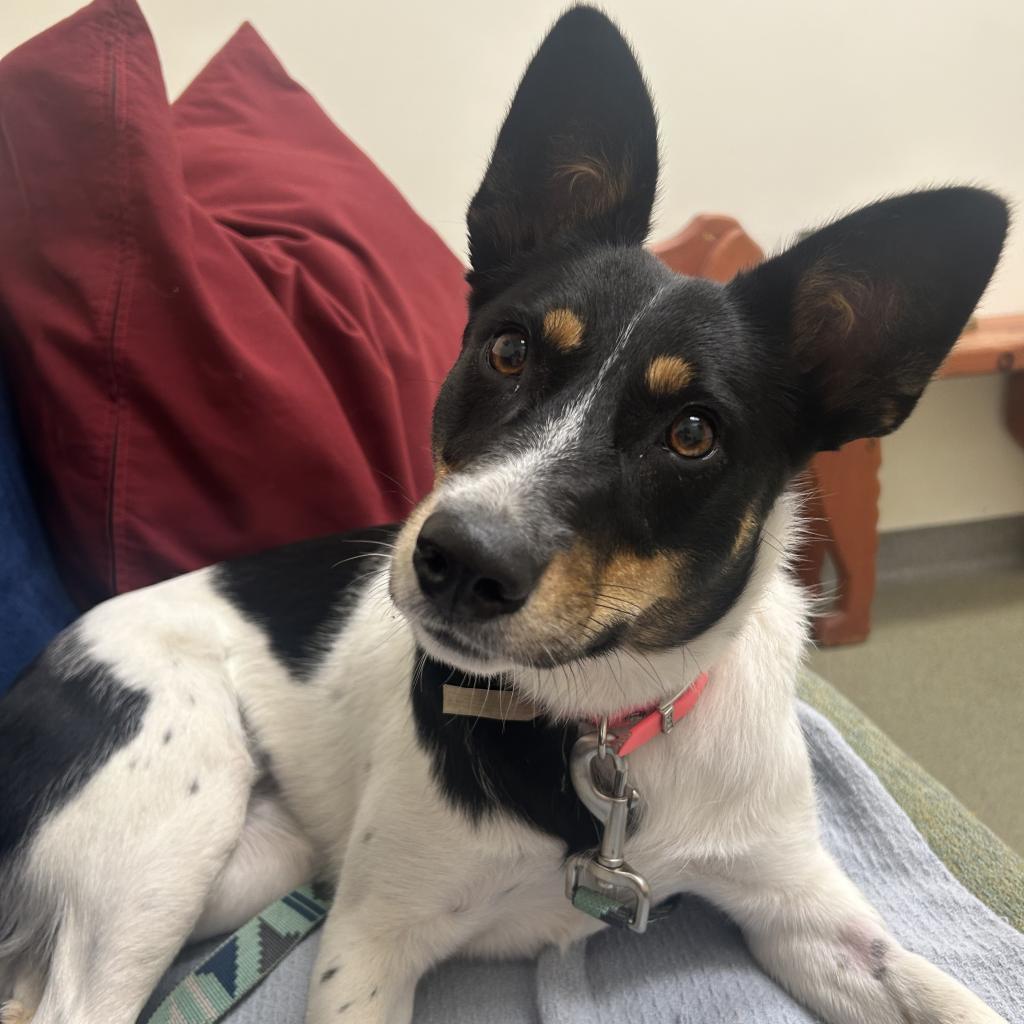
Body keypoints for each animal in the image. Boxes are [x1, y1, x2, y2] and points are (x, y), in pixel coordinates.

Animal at [0, 8, 1007, 1024]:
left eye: (692, 432)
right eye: (509, 350)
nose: (461, 562)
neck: (598, 726)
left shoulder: (803, 911)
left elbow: (951, 997)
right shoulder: (368, 945)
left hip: (251, 860)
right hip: (169, 821)